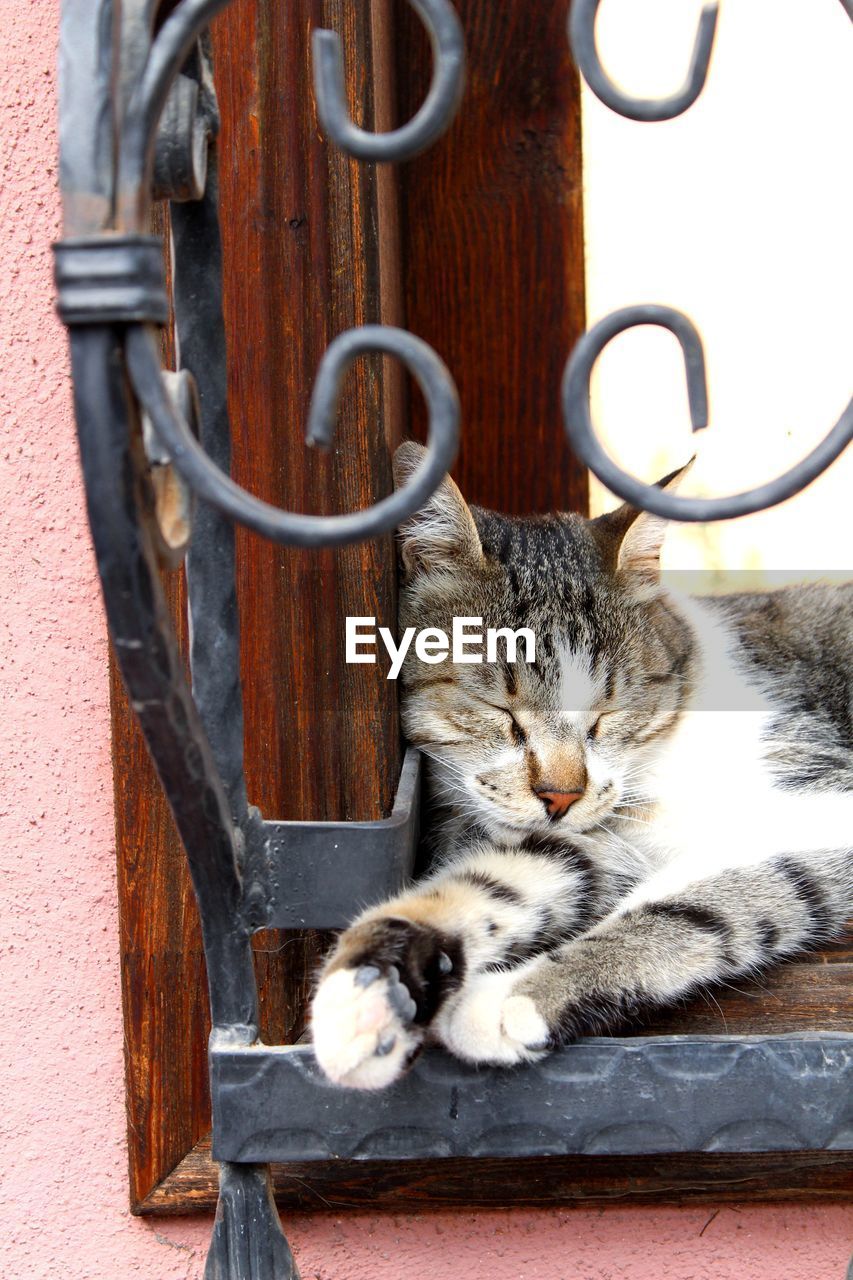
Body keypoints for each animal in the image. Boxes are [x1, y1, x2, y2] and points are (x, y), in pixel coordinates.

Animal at [307, 442, 850, 1090]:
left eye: (608, 711)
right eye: (500, 709)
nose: (560, 795)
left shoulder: (824, 801)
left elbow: (699, 901)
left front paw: (513, 997)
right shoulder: (597, 841)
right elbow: (500, 880)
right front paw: (374, 984)